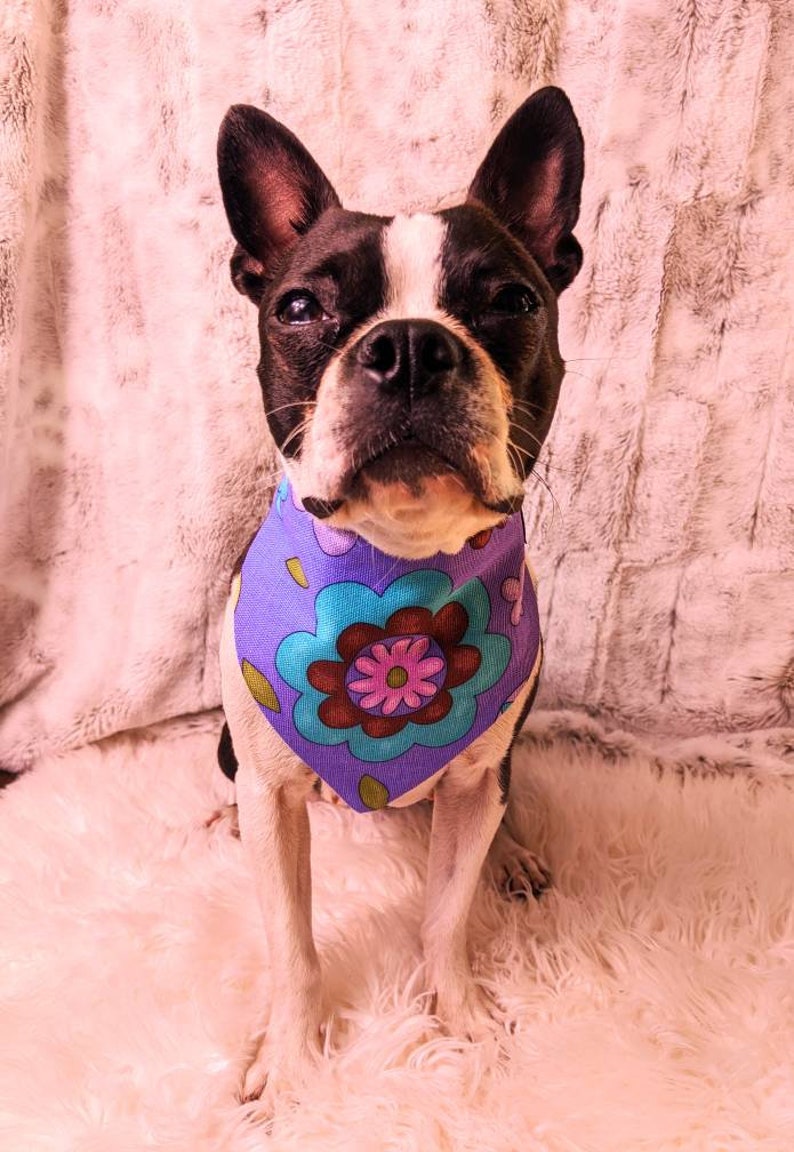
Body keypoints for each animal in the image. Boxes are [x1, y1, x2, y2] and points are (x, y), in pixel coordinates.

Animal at [215, 86, 584, 1105]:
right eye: (300, 307)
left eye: (513, 301)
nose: (411, 346)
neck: (394, 576)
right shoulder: (273, 801)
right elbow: (291, 945)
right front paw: (291, 1060)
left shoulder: (473, 785)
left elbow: (445, 914)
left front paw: (456, 1017)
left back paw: (520, 851)